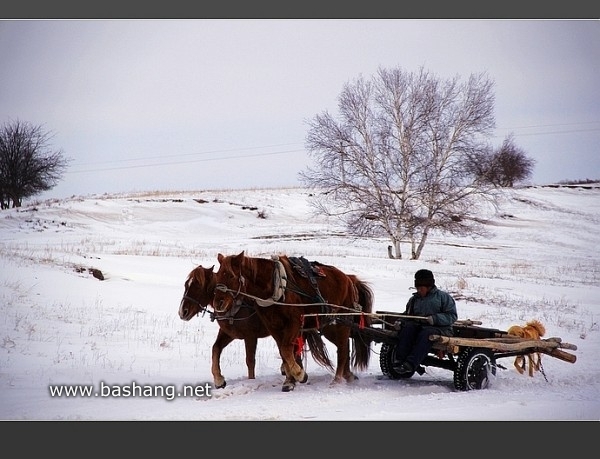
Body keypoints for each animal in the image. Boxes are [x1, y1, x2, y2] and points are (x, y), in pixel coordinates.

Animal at [211, 252, 372, 392]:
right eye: (217, 275)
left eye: (231, 275)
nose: (218, 304)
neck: (275, 287)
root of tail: (349, 279)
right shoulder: (274, 327)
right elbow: (284, 352)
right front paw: (289, 381)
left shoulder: (293, 323)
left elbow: (286, 350)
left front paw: (300, 375)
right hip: (329, 326)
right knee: (344, 346)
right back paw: (348, 375)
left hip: (341, 323)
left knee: (343, 350)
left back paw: (337, 380)